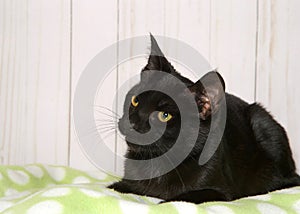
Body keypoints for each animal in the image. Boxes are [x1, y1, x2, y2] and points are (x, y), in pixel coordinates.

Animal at [108, 34, 300, 203]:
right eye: (135, 100)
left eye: (165, 115)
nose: (132, 123)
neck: (158, 162)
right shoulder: (124, 184)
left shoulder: (219, 192)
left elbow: (179, 198)